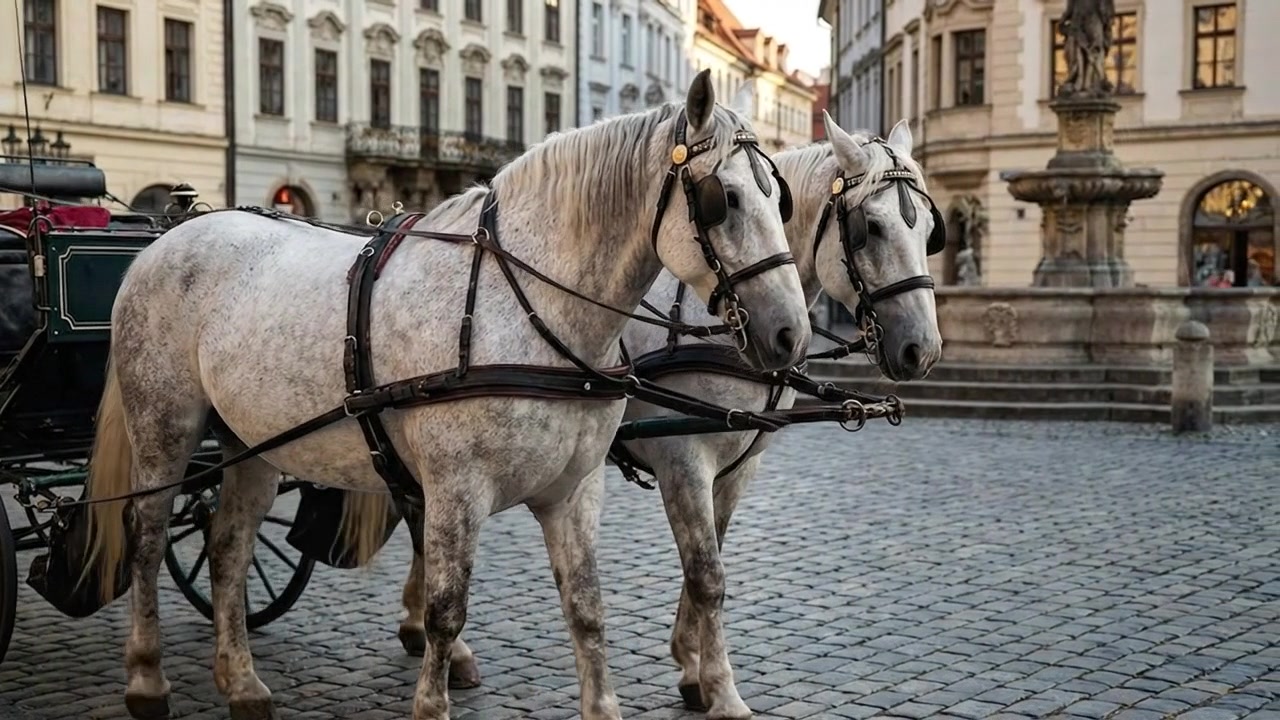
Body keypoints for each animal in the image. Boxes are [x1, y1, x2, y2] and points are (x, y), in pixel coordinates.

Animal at [80, 70, 814, 720]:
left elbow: (587, 607)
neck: (528, 307)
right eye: (724, 199)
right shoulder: (460, 488)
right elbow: (445, 608)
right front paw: (432, 701)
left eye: (778, 201)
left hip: (253, 443)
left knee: (229, 546)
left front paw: (611, 704)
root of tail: (172, 235)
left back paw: (241, 683)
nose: (790, 332)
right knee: (148, 537)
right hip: (165, 426)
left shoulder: (575, 490)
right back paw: (147, 677)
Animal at [371, 109, 945, 718]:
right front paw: (717, 686)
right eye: (871, 228)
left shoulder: (737, 469)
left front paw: (690, 663)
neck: (713, 318)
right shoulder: (683, 461)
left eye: (928, 232)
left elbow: (710, 560)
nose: (923, 349)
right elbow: (706, 573)